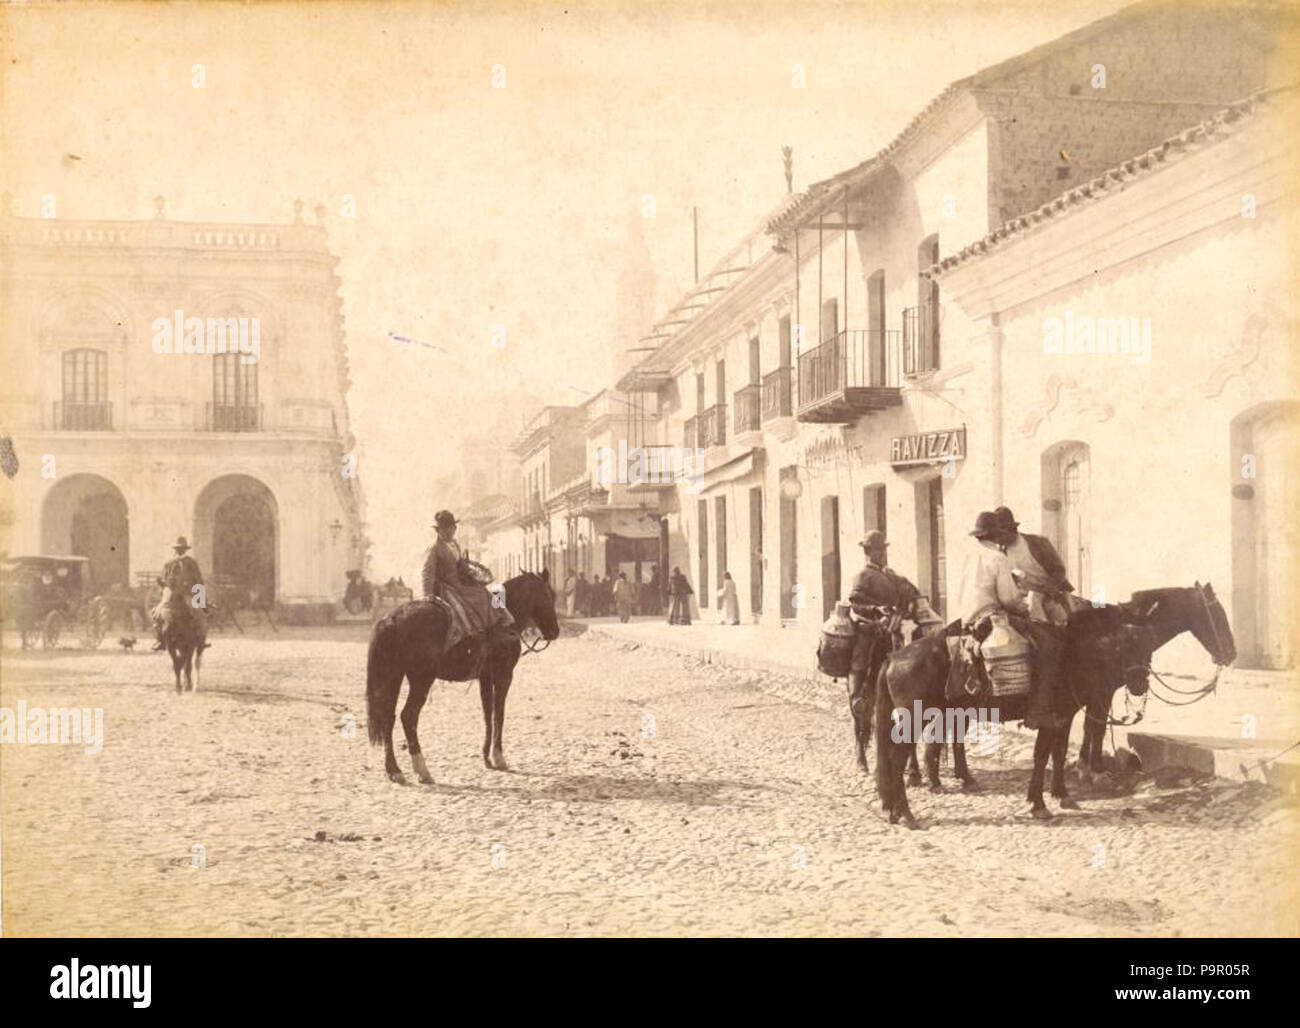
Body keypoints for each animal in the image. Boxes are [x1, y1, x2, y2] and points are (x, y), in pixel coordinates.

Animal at [366, 571, 559, 790]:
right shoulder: (504, 675)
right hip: (421, 679)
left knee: (388, 717)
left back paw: (394, 770)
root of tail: (391, 620)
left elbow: (487, 714)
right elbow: (499, 714)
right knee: (408, 716)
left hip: (394, 676)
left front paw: (486, 758)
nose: (555, 631)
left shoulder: (485, 677)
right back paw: (422, 770)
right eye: (548, 595)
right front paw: (499, 757)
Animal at [873, 587, 1227, 826]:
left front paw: (1062, 793)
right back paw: (907, 810)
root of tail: (893, 657)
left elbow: (1057, 751)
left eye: (1148, 646)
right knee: (899, 756)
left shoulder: (1066, 714)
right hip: (915, 717)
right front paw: (1045, 800)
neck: (1073, 652)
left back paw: (904, 801)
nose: (1230, 653)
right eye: (1218, 615)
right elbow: (1050, 750)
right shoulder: (1065, 710)